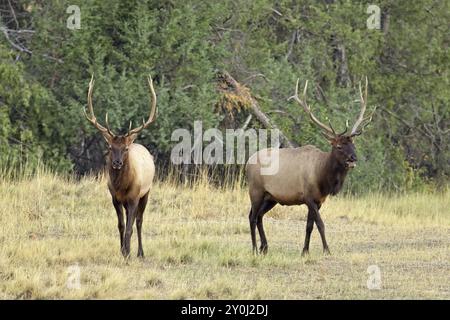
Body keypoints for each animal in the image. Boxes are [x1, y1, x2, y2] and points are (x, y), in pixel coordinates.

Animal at [85, 74, 158, 258]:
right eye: (110, 147)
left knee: (139, 221)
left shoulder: (133, 198)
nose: (117, 163)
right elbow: (121, 225)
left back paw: (140, 253)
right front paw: (122, 250)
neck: (122, 186)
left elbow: (130, 228)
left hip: (146, 192)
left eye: (125, 149)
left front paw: (128, 252)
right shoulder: (115, 198)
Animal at [246, 77, 372, 255]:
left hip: (271, 197)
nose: (353, 159)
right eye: (339, 146)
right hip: (255, 190)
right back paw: (255, 249)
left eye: (353, 144)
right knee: (251, 216)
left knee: (259, 216)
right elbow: (320, 224)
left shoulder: (319, 201)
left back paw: (265, 247)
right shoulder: (308, 197)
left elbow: (309, 226)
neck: (323, 179)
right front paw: (327, 249)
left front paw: (305, 250)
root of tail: (246, 163)